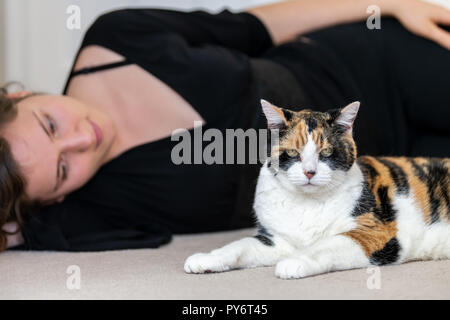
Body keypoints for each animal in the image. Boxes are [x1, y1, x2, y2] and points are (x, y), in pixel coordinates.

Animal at [184, 101, 450, 278]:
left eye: (327, 152)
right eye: (293, 153)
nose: (309, 172)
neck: (306, 205)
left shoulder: (375, 232)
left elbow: (326, 245)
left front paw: (294, 263)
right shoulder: (276, 240)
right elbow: (240, 245)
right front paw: (206, 258)